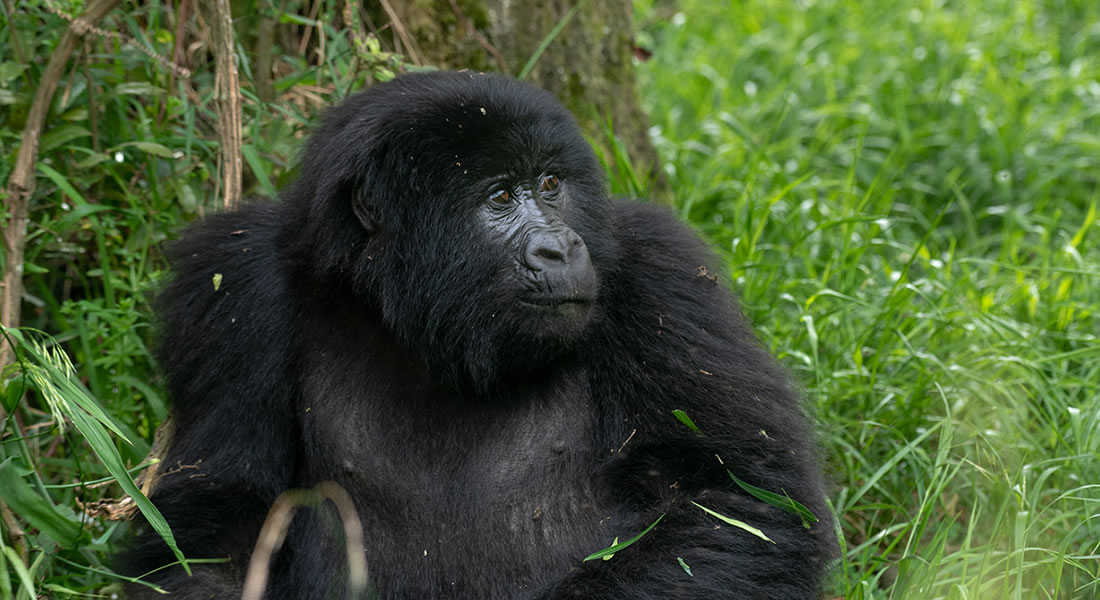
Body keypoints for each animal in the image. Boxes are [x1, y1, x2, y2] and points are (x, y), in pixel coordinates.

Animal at [124, 71, 831, 598]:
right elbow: (214, 525)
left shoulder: (664, 274)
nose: (560, 248)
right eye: (499, 198)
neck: (403, 310)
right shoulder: (235, 281)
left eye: (550, 184)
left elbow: (741, 503)